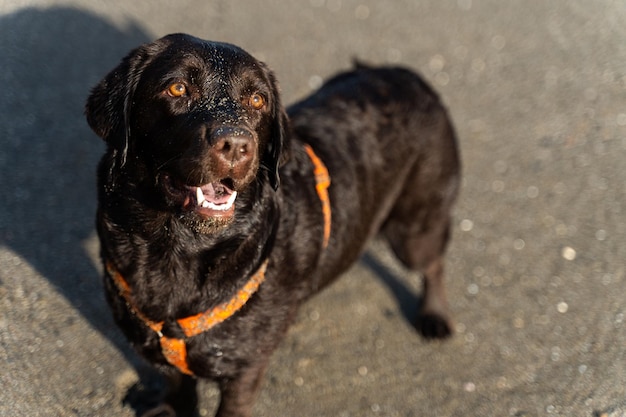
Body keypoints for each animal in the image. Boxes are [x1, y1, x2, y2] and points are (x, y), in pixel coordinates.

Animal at [85, 33, 458, 416]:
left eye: (257, 99)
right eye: (177, 88)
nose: (236, 144)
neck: (178, 249)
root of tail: (403, 74)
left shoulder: (244, 371)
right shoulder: (161, 356)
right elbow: (176, 388)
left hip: (414, 229)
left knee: (433, 262)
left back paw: (434, 316)